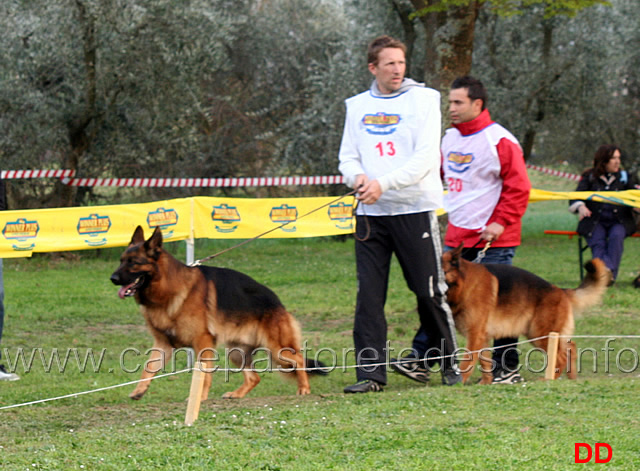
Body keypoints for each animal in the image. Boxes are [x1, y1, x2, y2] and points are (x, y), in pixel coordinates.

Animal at [109, 227, 324, 400]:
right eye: (121, 261)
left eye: (134, 263)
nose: (112, 278)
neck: (167, 289)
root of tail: (277, 301)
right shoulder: (163, 344)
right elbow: (148, 368)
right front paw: (139, 390)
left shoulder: (203, 343)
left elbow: (204, 376)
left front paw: (199, 398)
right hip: (236, 352)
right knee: (254, 377)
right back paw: (236, 394)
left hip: (277, 348)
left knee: (299, 360)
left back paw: (304, 389)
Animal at [440, 245, 608, 386]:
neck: (464, 283)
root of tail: (560, 290)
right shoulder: (482, 337)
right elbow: (485, 361)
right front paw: (485, 383)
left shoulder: (475, 335)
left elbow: (467, 362)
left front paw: (460, 381)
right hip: (543, 333)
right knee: (570, 347)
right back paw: (571, 377)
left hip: (540, 334)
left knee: (560, 356)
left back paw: (549, 379)